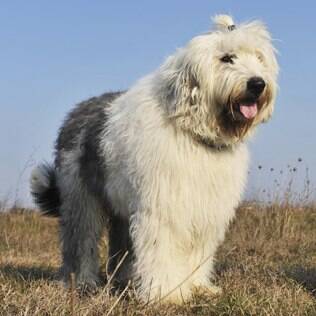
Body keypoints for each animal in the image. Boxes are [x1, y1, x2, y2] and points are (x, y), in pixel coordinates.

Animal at [30, 14, 278, 304]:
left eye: (259, 58)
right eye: (227, 58)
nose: (257, 84)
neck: (192, 131)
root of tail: (76, 111)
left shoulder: (205, 209)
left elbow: (197, 251)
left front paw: (197, 286)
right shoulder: (164, 206)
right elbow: (162, 248)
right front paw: (167, 293)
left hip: (121, 207)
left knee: (120, 245)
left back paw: (123, 279)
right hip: (80, 198)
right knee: (81, 240)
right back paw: (81, 282)